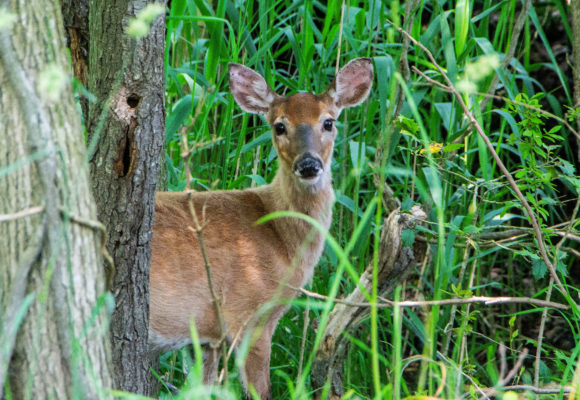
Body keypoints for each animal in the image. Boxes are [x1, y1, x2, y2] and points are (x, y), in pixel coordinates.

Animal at [150, 57, 374, 398]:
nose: (309, 165)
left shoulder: (207, 337)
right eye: (279, 126)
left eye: (328, 122)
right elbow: (261, 391)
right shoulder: (248, 313)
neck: (279, 236)